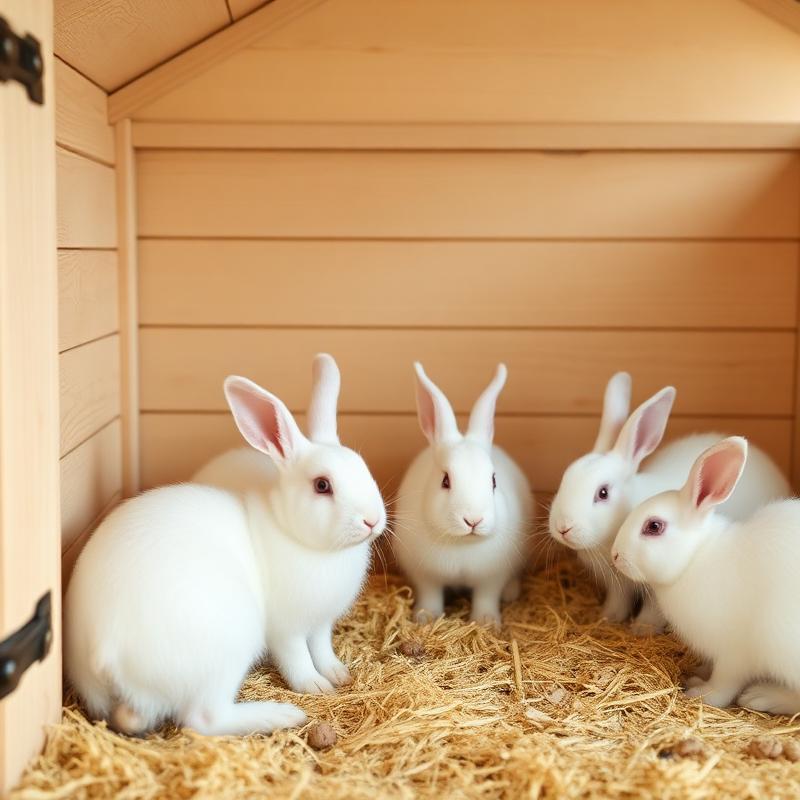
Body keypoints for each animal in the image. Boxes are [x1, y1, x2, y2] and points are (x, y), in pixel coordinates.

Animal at [64, 354, 386, 737]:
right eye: (322, 485)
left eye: (364, 468)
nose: (372, 520)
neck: (294, 535)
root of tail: (102, 650)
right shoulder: (286, 629)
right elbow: (297, 659)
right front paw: (316, 686)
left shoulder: (321, 622)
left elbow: (322, 648)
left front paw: (338, 674)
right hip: (227, 649)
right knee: (203, 718)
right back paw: (280, 715)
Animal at [394, 362, 532, 627]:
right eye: (445, 481)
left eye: (493, 480)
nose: (473, 520)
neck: (462, 543)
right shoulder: (425, 575)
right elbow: (430, 594)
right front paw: (425, 617)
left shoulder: (492, 576)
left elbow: (487, 596)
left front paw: (487, 622)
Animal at [548, 372, 790, 635]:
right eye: (565, 478)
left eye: (603, 493)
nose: (562, 528)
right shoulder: (617, 585)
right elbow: (619, 601)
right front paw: (608, 618)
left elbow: (653, 609)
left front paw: (642, 629)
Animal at [611, 436, 800, 715]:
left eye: (654, 526)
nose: (615, 555)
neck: (695, 557)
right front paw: (698, 672)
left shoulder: (734, 654)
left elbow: (723, 685)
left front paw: (699, 692)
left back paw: (760, 696)